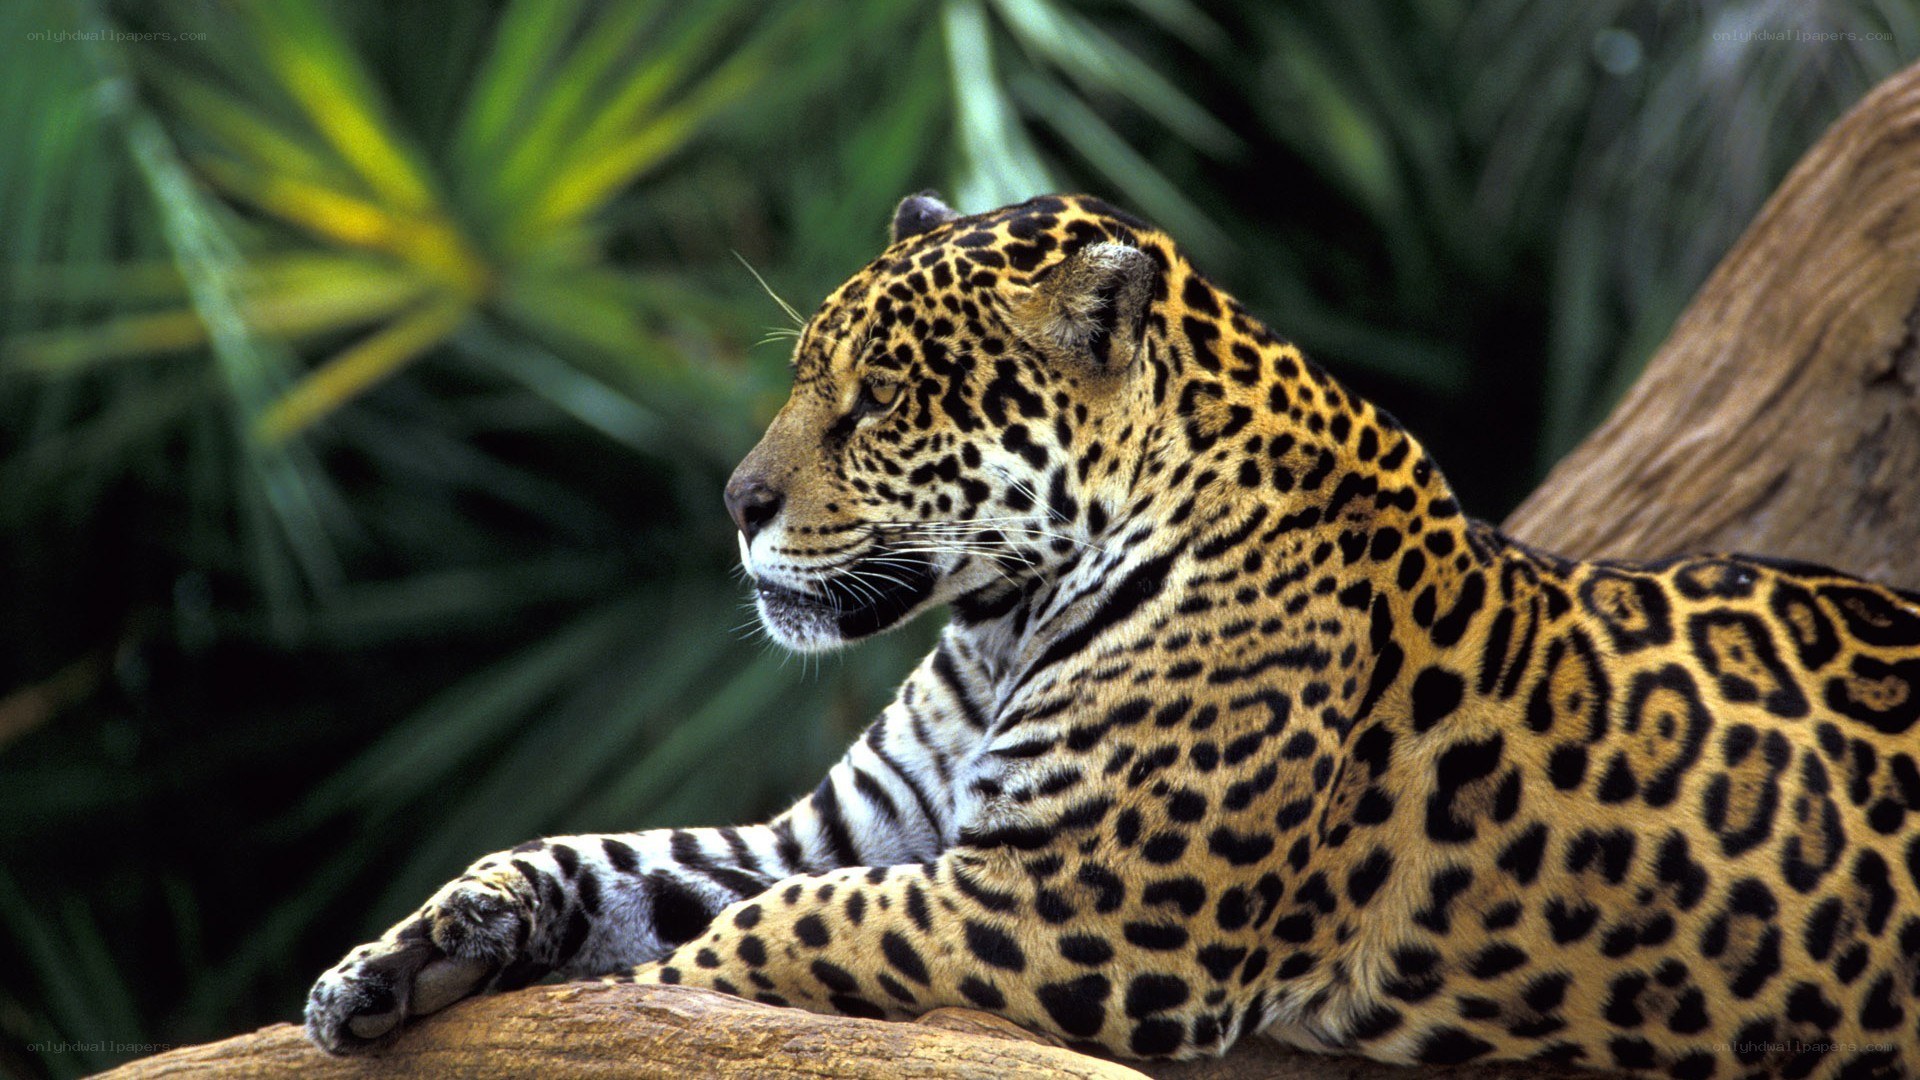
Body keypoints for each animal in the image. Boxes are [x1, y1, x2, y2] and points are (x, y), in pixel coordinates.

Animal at [306, 192, 1920, 1078]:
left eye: (877, 401)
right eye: (804, 374)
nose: (735, 502)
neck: (1003, 620)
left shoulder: (1079, 911)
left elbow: (778, 934)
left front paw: (644, 1000)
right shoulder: (844, 833)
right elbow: (591, 861)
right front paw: (397, 963)